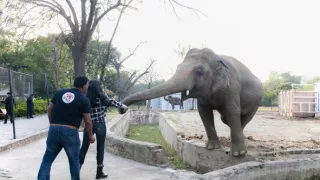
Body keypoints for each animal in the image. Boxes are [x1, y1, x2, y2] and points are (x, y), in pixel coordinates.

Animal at [121, 47, 264, 156]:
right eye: (178, 67)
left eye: (199, 71)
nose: (122, 108)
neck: (216, 58)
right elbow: (204, 113)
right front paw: (211, 148)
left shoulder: (232, 86)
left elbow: (232, 111)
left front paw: (238, 154)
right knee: (228, 119)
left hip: (257, 101)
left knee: (242, 118)